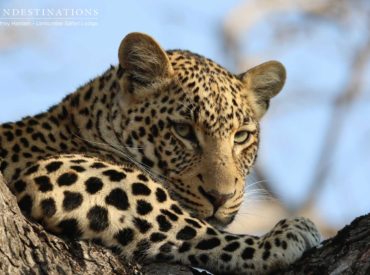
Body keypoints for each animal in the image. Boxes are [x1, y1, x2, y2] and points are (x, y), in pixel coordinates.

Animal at [0, 33, 320, 275]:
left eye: (241, 136)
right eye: (183, 130)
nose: (221, 197)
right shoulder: (56, 171)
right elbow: (178, 220)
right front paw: (276, 241)